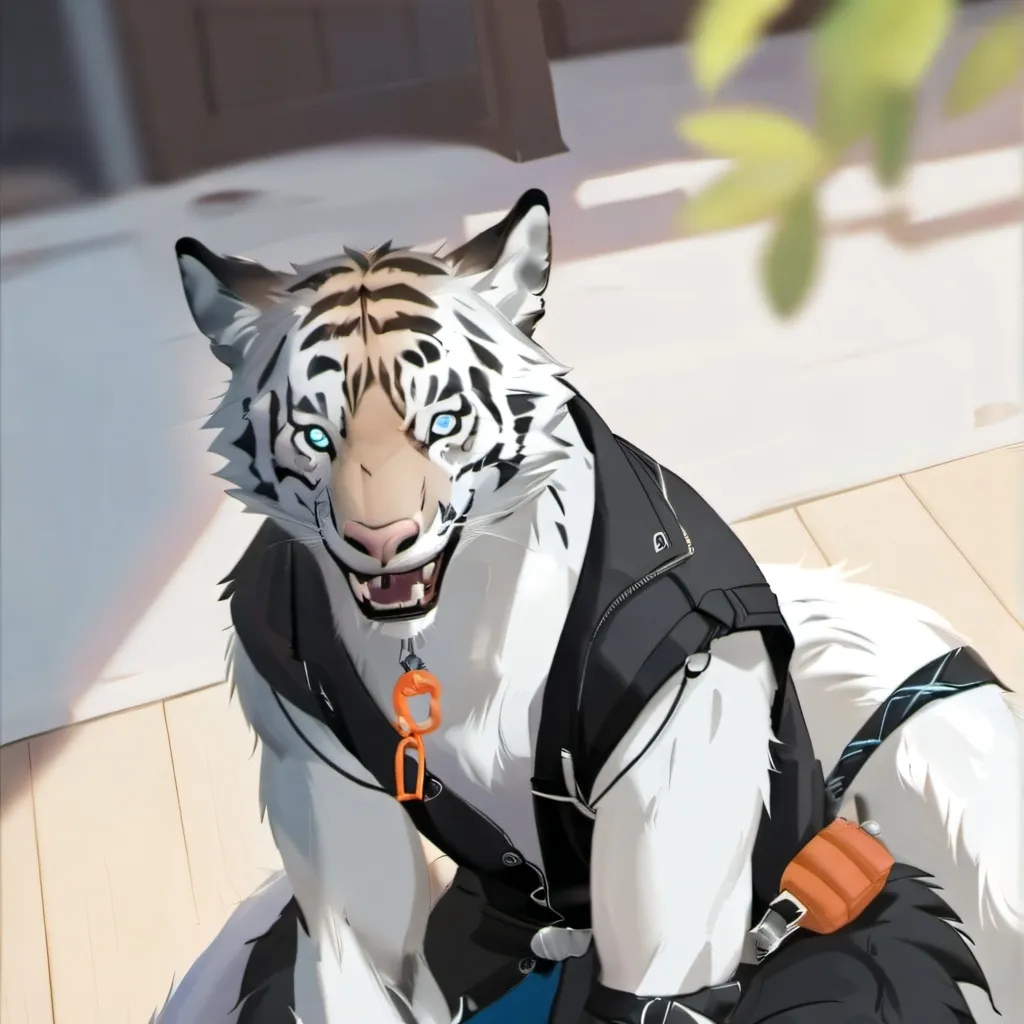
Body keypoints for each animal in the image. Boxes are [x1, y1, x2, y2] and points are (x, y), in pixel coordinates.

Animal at [154, 189, 1020, 1024]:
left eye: (443, 423)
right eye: (313, 436)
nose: (381, 540)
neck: (439, 636)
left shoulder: (686, 700)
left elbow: (650, 988)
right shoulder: (307, 755)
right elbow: (360, 957)